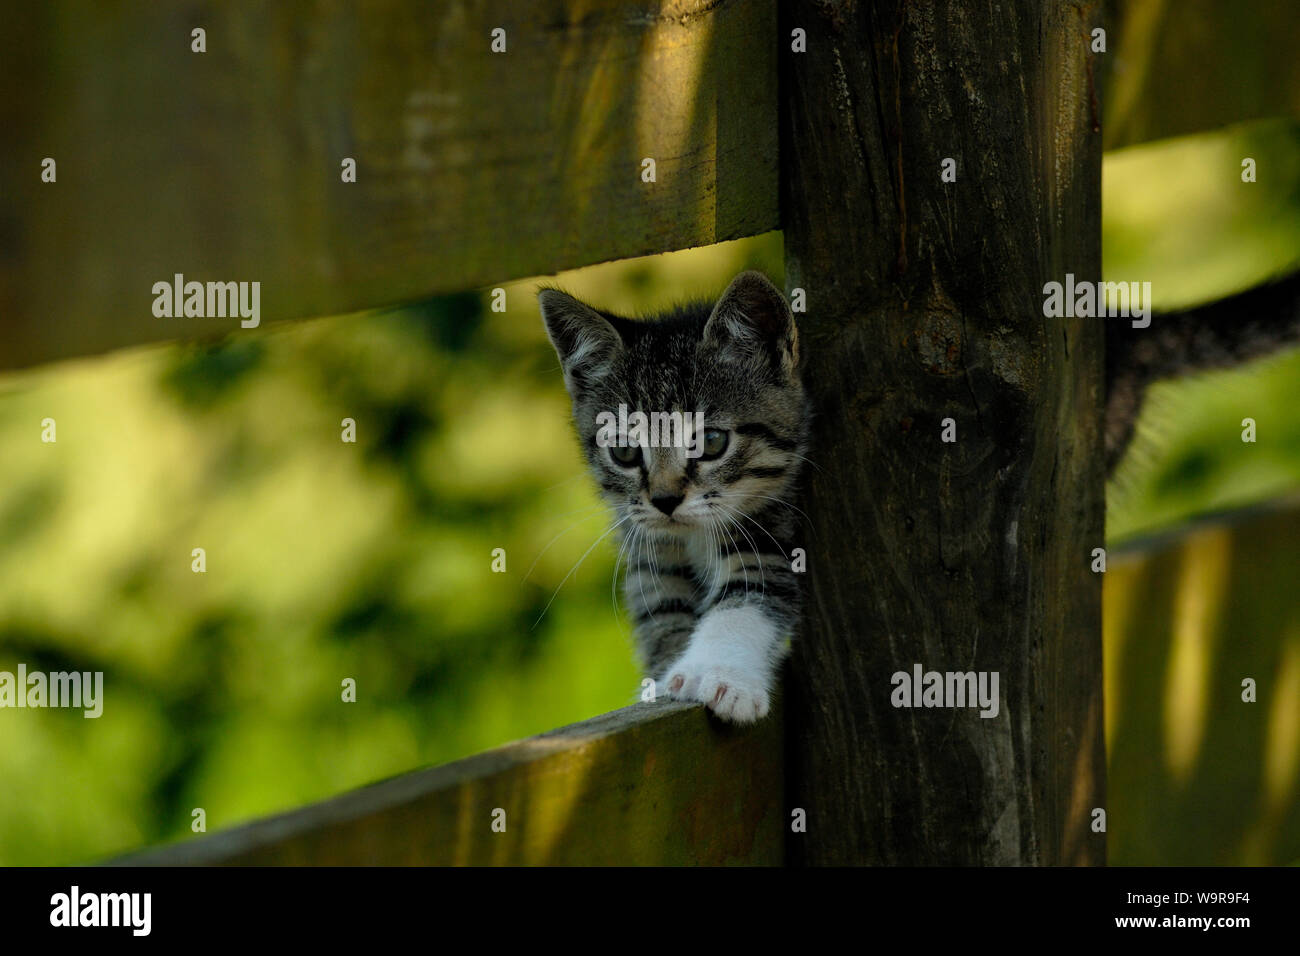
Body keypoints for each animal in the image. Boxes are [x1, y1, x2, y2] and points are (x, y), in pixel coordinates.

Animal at [535, 273, 800, 723]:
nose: (664, 499)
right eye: (624, 451)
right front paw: (665, 681)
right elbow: (661, 607)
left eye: (711, 441)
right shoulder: (645, 540)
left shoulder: (779, 522)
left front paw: (722, 675)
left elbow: (749, 593)